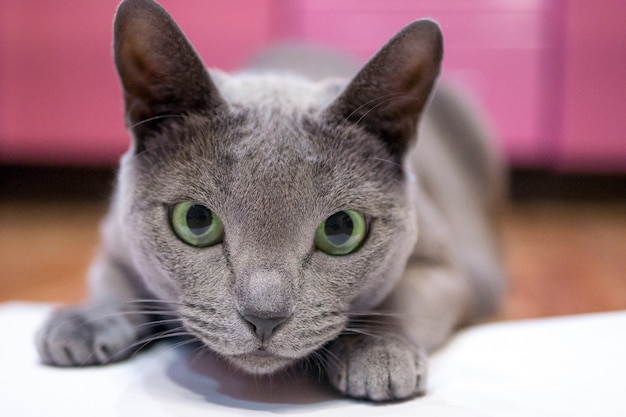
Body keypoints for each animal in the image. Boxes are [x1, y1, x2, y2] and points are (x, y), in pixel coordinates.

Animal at [34, 0, 504, 404]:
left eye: (341, 230)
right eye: (196, 220)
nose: (264, 317)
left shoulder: (456, 269)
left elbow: (406, 295)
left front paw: (378, 354)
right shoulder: (115, 235)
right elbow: (111, 278)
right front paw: (82, 323)